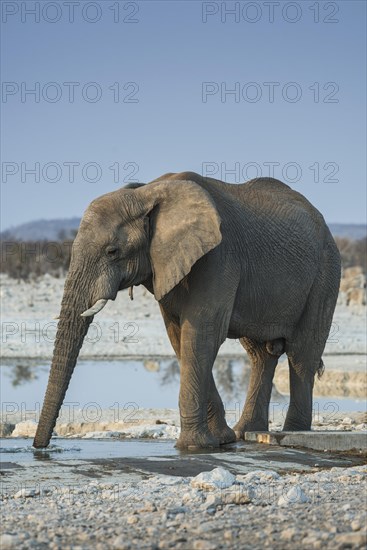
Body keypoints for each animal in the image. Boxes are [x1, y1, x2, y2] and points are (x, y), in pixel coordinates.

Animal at [33, 172, 340, 452]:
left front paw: (194, 447)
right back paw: (245, 433)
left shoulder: (218, 256)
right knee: (260, 355)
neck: (145, 193)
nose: (40, 448)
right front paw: (222, 440)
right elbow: (180, 338)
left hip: (326, 271)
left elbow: (202, 335)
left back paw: (294, 434)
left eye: (112, 251)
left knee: (301, 354)